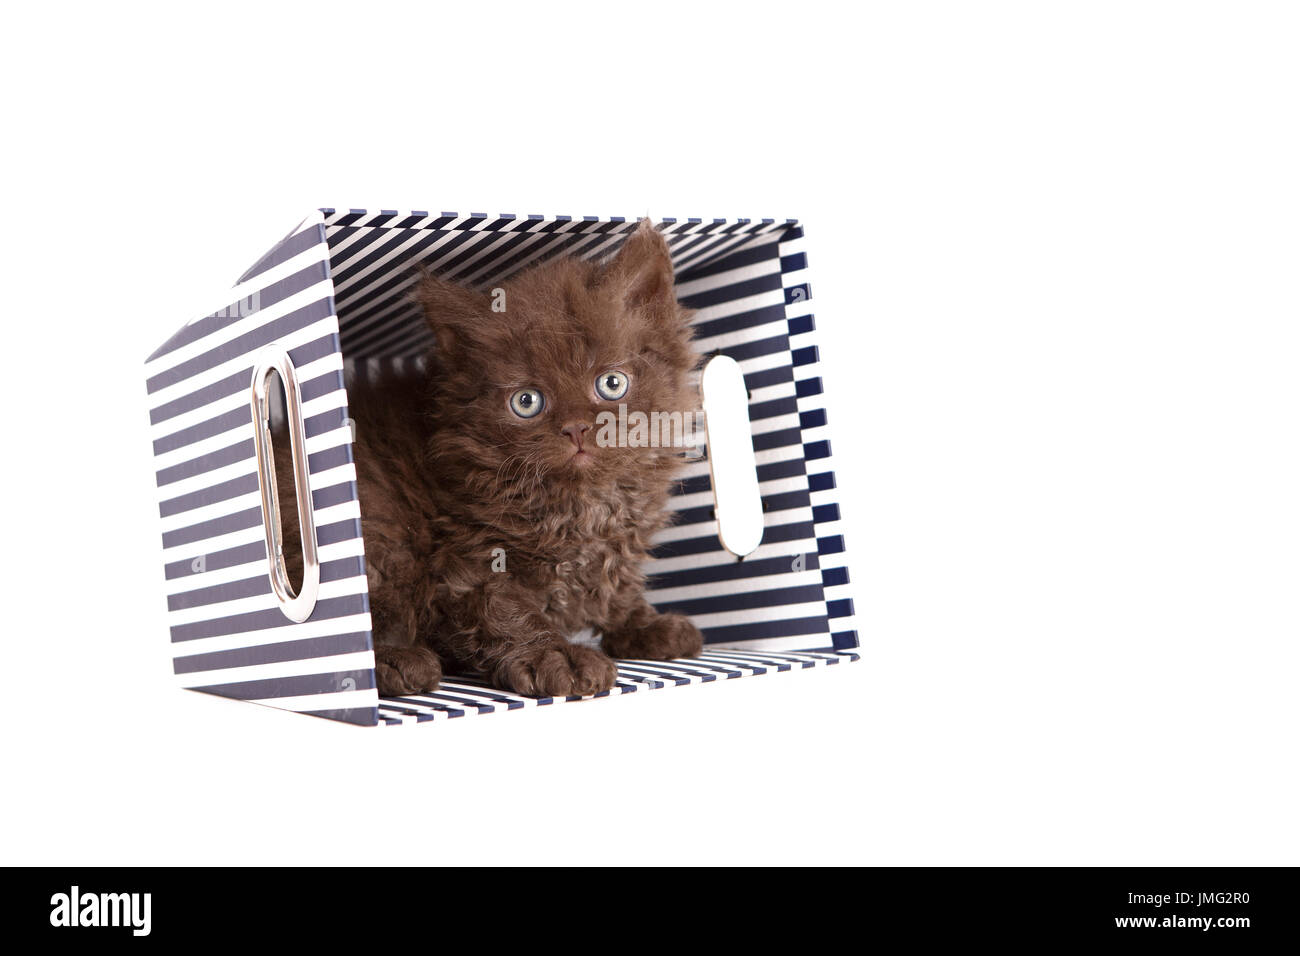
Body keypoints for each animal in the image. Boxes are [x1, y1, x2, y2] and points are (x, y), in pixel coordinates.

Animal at [280, 218, 707, 697]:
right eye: (526, 402)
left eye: (612, 384)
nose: (576, 428)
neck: (582, 506)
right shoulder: (466, 566)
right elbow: (506, 611)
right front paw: (557, 657)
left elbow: (617, 589)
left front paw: (646, 625)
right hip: (381, 536)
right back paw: (398, 661)